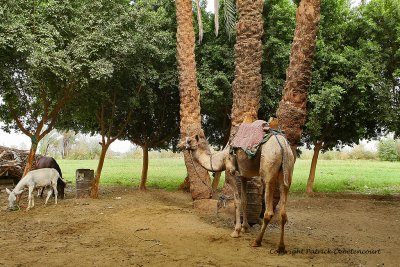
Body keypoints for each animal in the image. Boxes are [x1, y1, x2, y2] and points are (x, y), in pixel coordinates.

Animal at [184, 123, 294, 253]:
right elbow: (245, 201)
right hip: (287, 171)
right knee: (283, 211)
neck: (221, 158)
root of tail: (283, 146)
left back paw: (257, 242)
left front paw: (236, 231)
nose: (181, 145)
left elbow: (237, 201)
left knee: (268, 212)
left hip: (269, 170)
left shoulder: (230, 172)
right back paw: (281, 247)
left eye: (189, 140)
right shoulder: (243, 175)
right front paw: (245, 228)